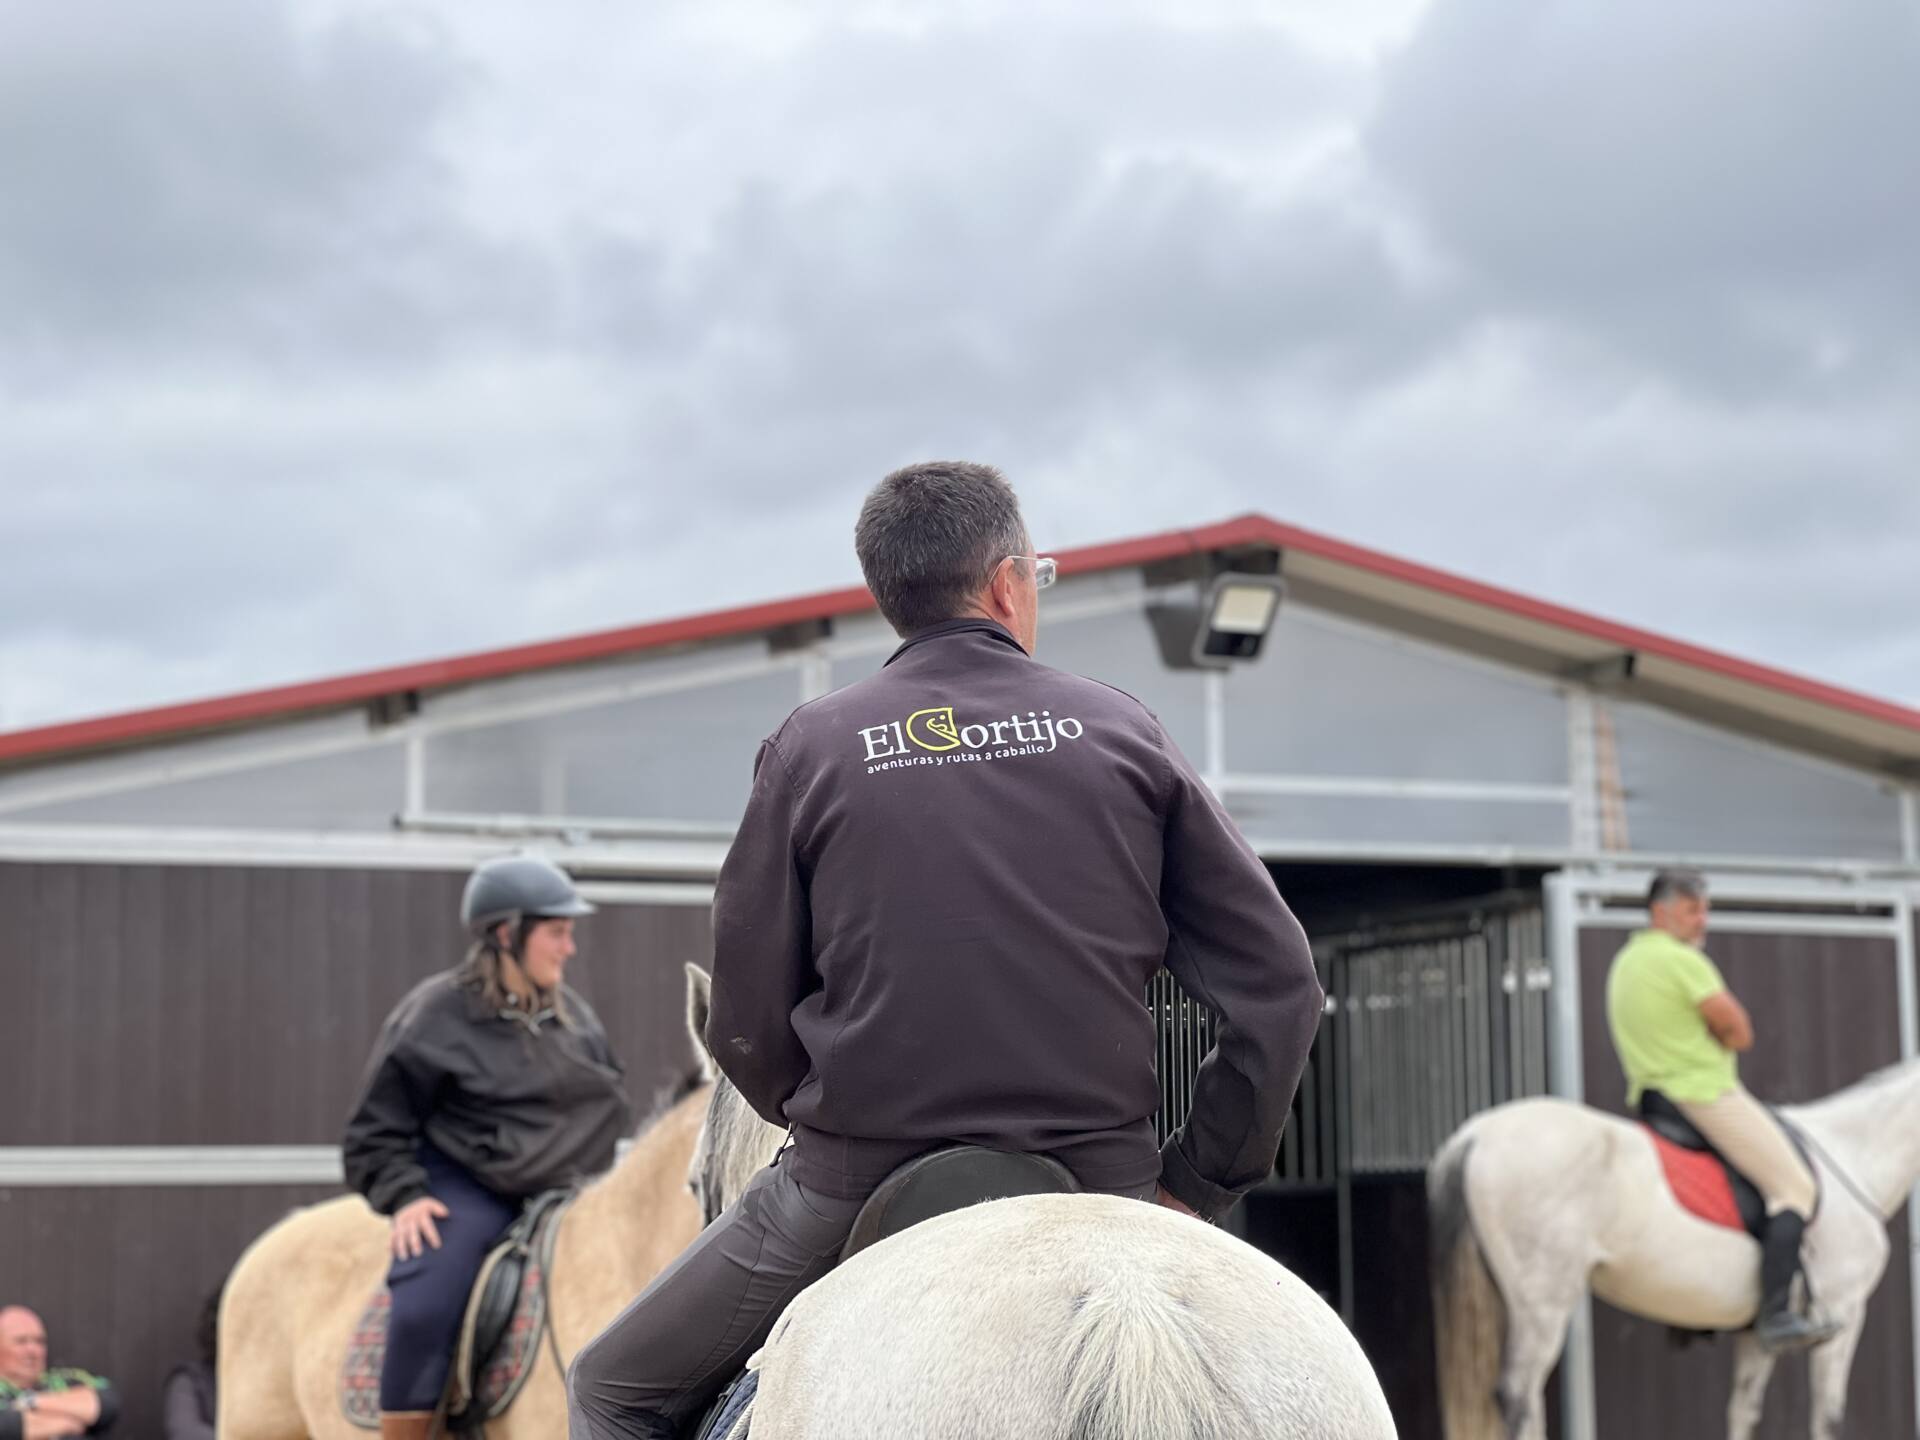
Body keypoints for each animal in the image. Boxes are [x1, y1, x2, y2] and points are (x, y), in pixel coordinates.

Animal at [1428, 1059, 1920, 1440]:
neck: (1856, 1155)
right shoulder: (1845, 1310)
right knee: (1519, 1397)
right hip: (1542, 1303)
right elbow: (1829, 1419)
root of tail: (1475, 1136)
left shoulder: (1759, 1331)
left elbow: (1743, 1412)